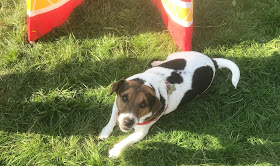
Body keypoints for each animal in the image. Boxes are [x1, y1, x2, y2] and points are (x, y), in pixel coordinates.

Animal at [99, 51, 241, 158]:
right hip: (176, 55)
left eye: (143, 105)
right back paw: (157, 63)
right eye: (124, 98)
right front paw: (105, 132)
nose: (127, 122)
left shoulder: (141, 132)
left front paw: (116, 150)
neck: (152, 84)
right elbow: (112, 118)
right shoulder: (116, 104)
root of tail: (212, 62)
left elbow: (127, 140)